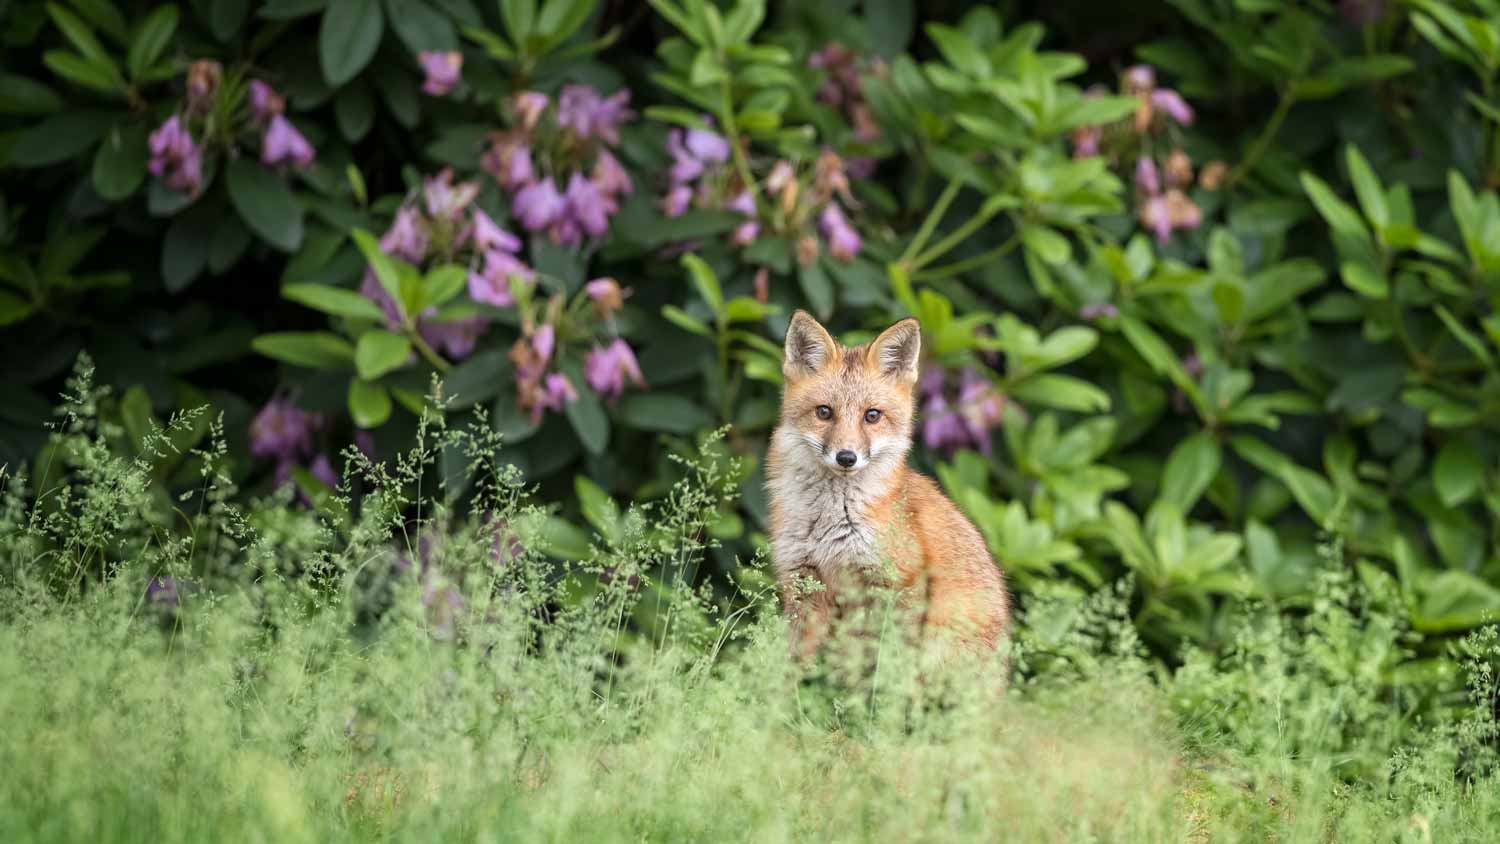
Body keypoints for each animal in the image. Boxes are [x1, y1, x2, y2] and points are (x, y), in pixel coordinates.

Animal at [766, 310, 1010, 671]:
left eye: (872, 415)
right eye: (824, 412)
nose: (846, 457)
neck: (827, 522)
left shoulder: (897, 585)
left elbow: (882, 670)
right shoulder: (803, 583)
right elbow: (791, 670)